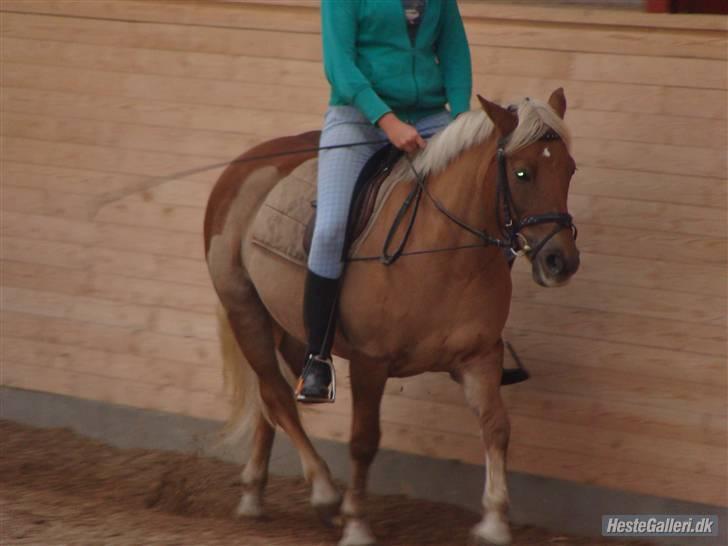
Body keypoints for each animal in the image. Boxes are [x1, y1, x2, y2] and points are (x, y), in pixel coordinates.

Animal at [203, 89, 580, 544]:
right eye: (523, 173)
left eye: (570, 169)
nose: (561, 261)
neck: (443, 252)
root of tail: (246, 163)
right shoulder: (370, 362)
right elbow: (364, 440)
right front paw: (356, 524)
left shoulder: (480, 358)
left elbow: (496, 427)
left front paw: (493, 522)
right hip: (246, 312)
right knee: (277, 396)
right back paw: (325, 494)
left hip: (291, 328)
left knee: (268, 402)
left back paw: (253, 496)